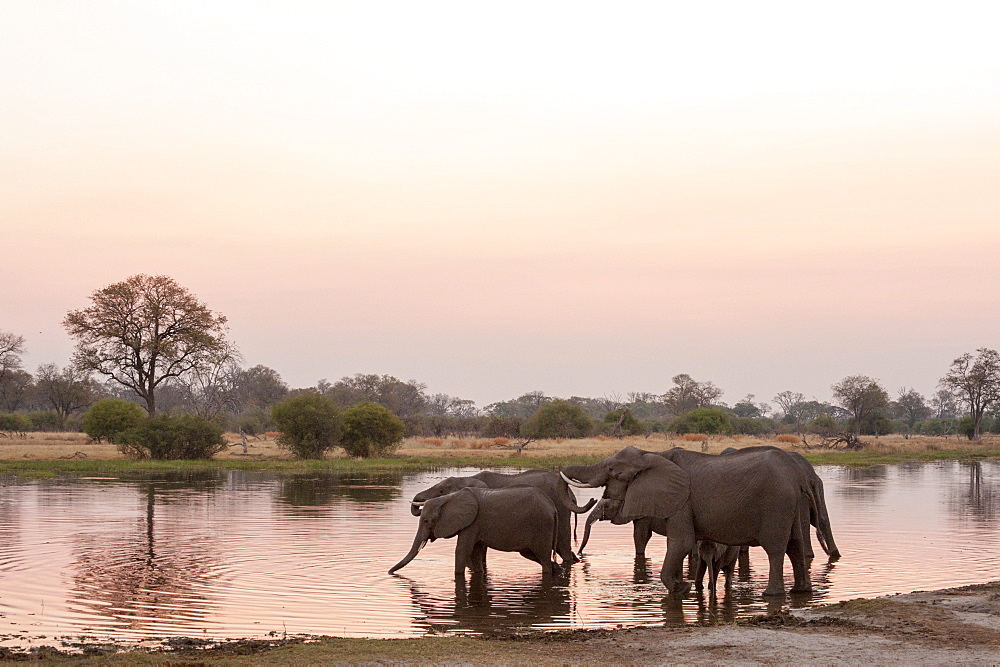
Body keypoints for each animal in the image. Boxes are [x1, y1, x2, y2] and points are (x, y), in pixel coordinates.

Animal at [390, 486, 564, 580]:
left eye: (426, 521)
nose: (389, 572)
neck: (448, 499)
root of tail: (553, 508)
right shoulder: (476, 525)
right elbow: (475, 553)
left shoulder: (471, 523)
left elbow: (462, 550)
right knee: (535, 555)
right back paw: (559, 571)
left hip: (541, 526)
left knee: (543, 558)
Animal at [406, 470, 592, 568]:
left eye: (441, 491)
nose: (417, 505)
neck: (469, 478)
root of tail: (572, 495)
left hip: (560, 510)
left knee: (563, 548)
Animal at [560, 446, 816, 596]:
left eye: (614, 470)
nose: (593, 498)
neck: (653, 455)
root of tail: (798, 474)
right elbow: (678, 545)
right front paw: (684, 585)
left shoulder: (682, 501)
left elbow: (680, 543)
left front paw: (681, 588)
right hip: (792, 504)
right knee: (795, 544)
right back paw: (800, 591)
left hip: (777, 503)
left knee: (775, 548)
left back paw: (773, 594)